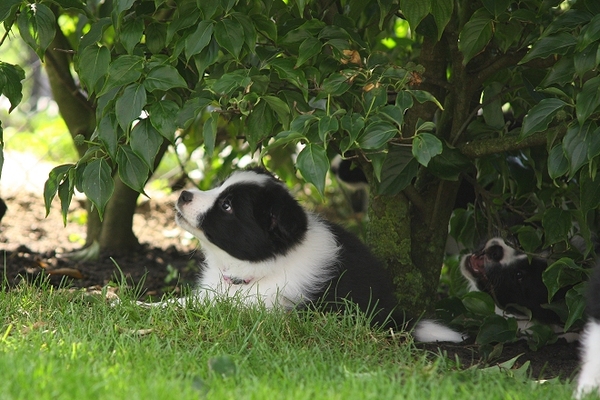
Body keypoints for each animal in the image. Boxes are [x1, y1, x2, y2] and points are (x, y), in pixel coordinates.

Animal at [173, 167, 464, 342]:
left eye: (227, 205)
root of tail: (392, 313)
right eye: (219, 187)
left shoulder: (263, 308)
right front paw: (161, 305)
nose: (183, 195)